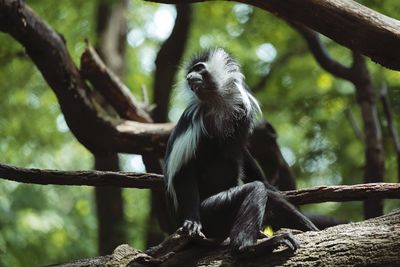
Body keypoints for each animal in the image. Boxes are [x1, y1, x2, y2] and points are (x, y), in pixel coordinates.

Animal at [163, 48, 318, 255]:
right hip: (213, 212)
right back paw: (248, 246)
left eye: (199, 68)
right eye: (190, 73)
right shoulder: (196, 121)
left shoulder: (242, 114)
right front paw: (192, 221)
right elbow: (183, 170)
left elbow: (242, 154)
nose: (189, 78)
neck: (220, 104)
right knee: (254, 190)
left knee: (271, 198)